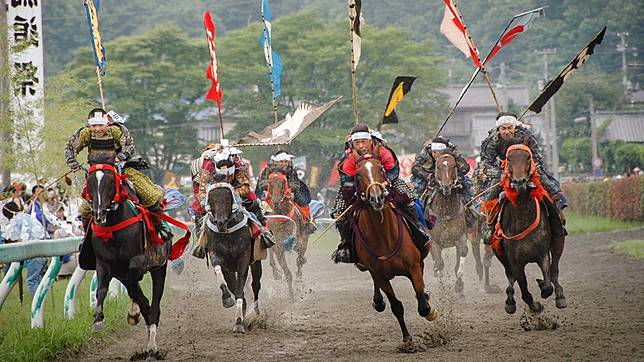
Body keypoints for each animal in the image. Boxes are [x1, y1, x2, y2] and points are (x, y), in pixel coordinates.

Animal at [83, 164, 171, 354]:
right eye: (90, 182)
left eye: (110, 182)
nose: (99, 214)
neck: (113, 227)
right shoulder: (104, 264)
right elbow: (101, 289)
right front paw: (98, 320)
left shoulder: (138, 262)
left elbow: (134, 277)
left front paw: (133, 311)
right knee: (142, 299)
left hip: (160, 266)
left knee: (155, 303)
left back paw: (152, 344)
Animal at [203, 182, 260, 332]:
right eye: (211, 199)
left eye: (228, 198)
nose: (220, 222)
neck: (228, 233)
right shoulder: (217, 256)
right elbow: (220, 272)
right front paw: (227, 299)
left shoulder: (243, 259)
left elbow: (240, 291)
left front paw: (239, 323)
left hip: (256, 263)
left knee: (255, 286)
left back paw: (255, 316)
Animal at [352, 146, 438, 342]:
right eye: (358, 174)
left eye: (381, 168)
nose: (376, 197)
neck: (385, 238)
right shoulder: (379, 275)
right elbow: (396, 306)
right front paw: (407, 339)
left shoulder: (413, 267)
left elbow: (423, 306)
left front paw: (431, 310)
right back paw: (378, 301)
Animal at [490, 144, 568, 314]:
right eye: (509, 159)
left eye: (528, 157)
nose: (520, 182)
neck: (522, 219)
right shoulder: (515, 262)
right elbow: (525, 292)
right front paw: (536, 306)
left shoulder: (542, 254)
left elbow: (547, 286)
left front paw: (543, 287)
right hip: (499, 252)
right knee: (509, 276)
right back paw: (510, 300)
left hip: (558, 239)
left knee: (555, 269)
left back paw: (560, 296)